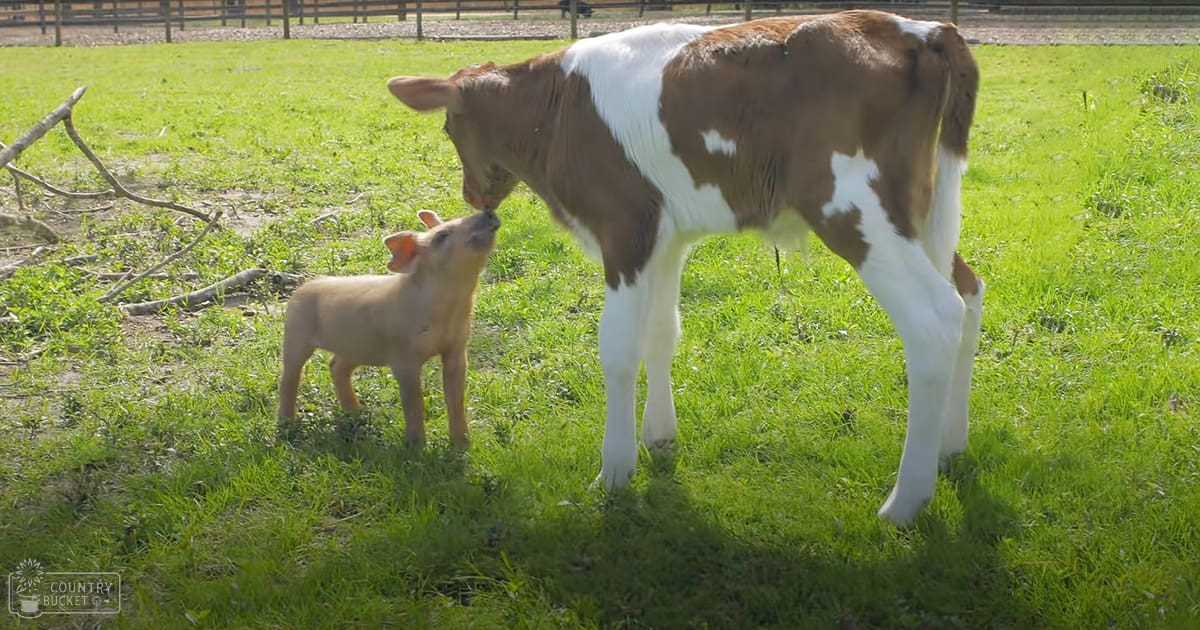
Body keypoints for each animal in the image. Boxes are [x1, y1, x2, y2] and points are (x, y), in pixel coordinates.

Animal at [386, 10, 982, 526]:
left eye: (449, 129)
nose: (472, 194)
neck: (555, 111)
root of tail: (919, 28)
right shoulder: (665, 238)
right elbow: (662, 332)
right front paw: (660, 437)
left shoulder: (624, 229)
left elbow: (618, 347)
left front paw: (614, 469)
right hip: (920, 208)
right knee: (970, 290)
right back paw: (952, 444)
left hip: (854, 208)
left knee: (934, 318)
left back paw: (906, 500)